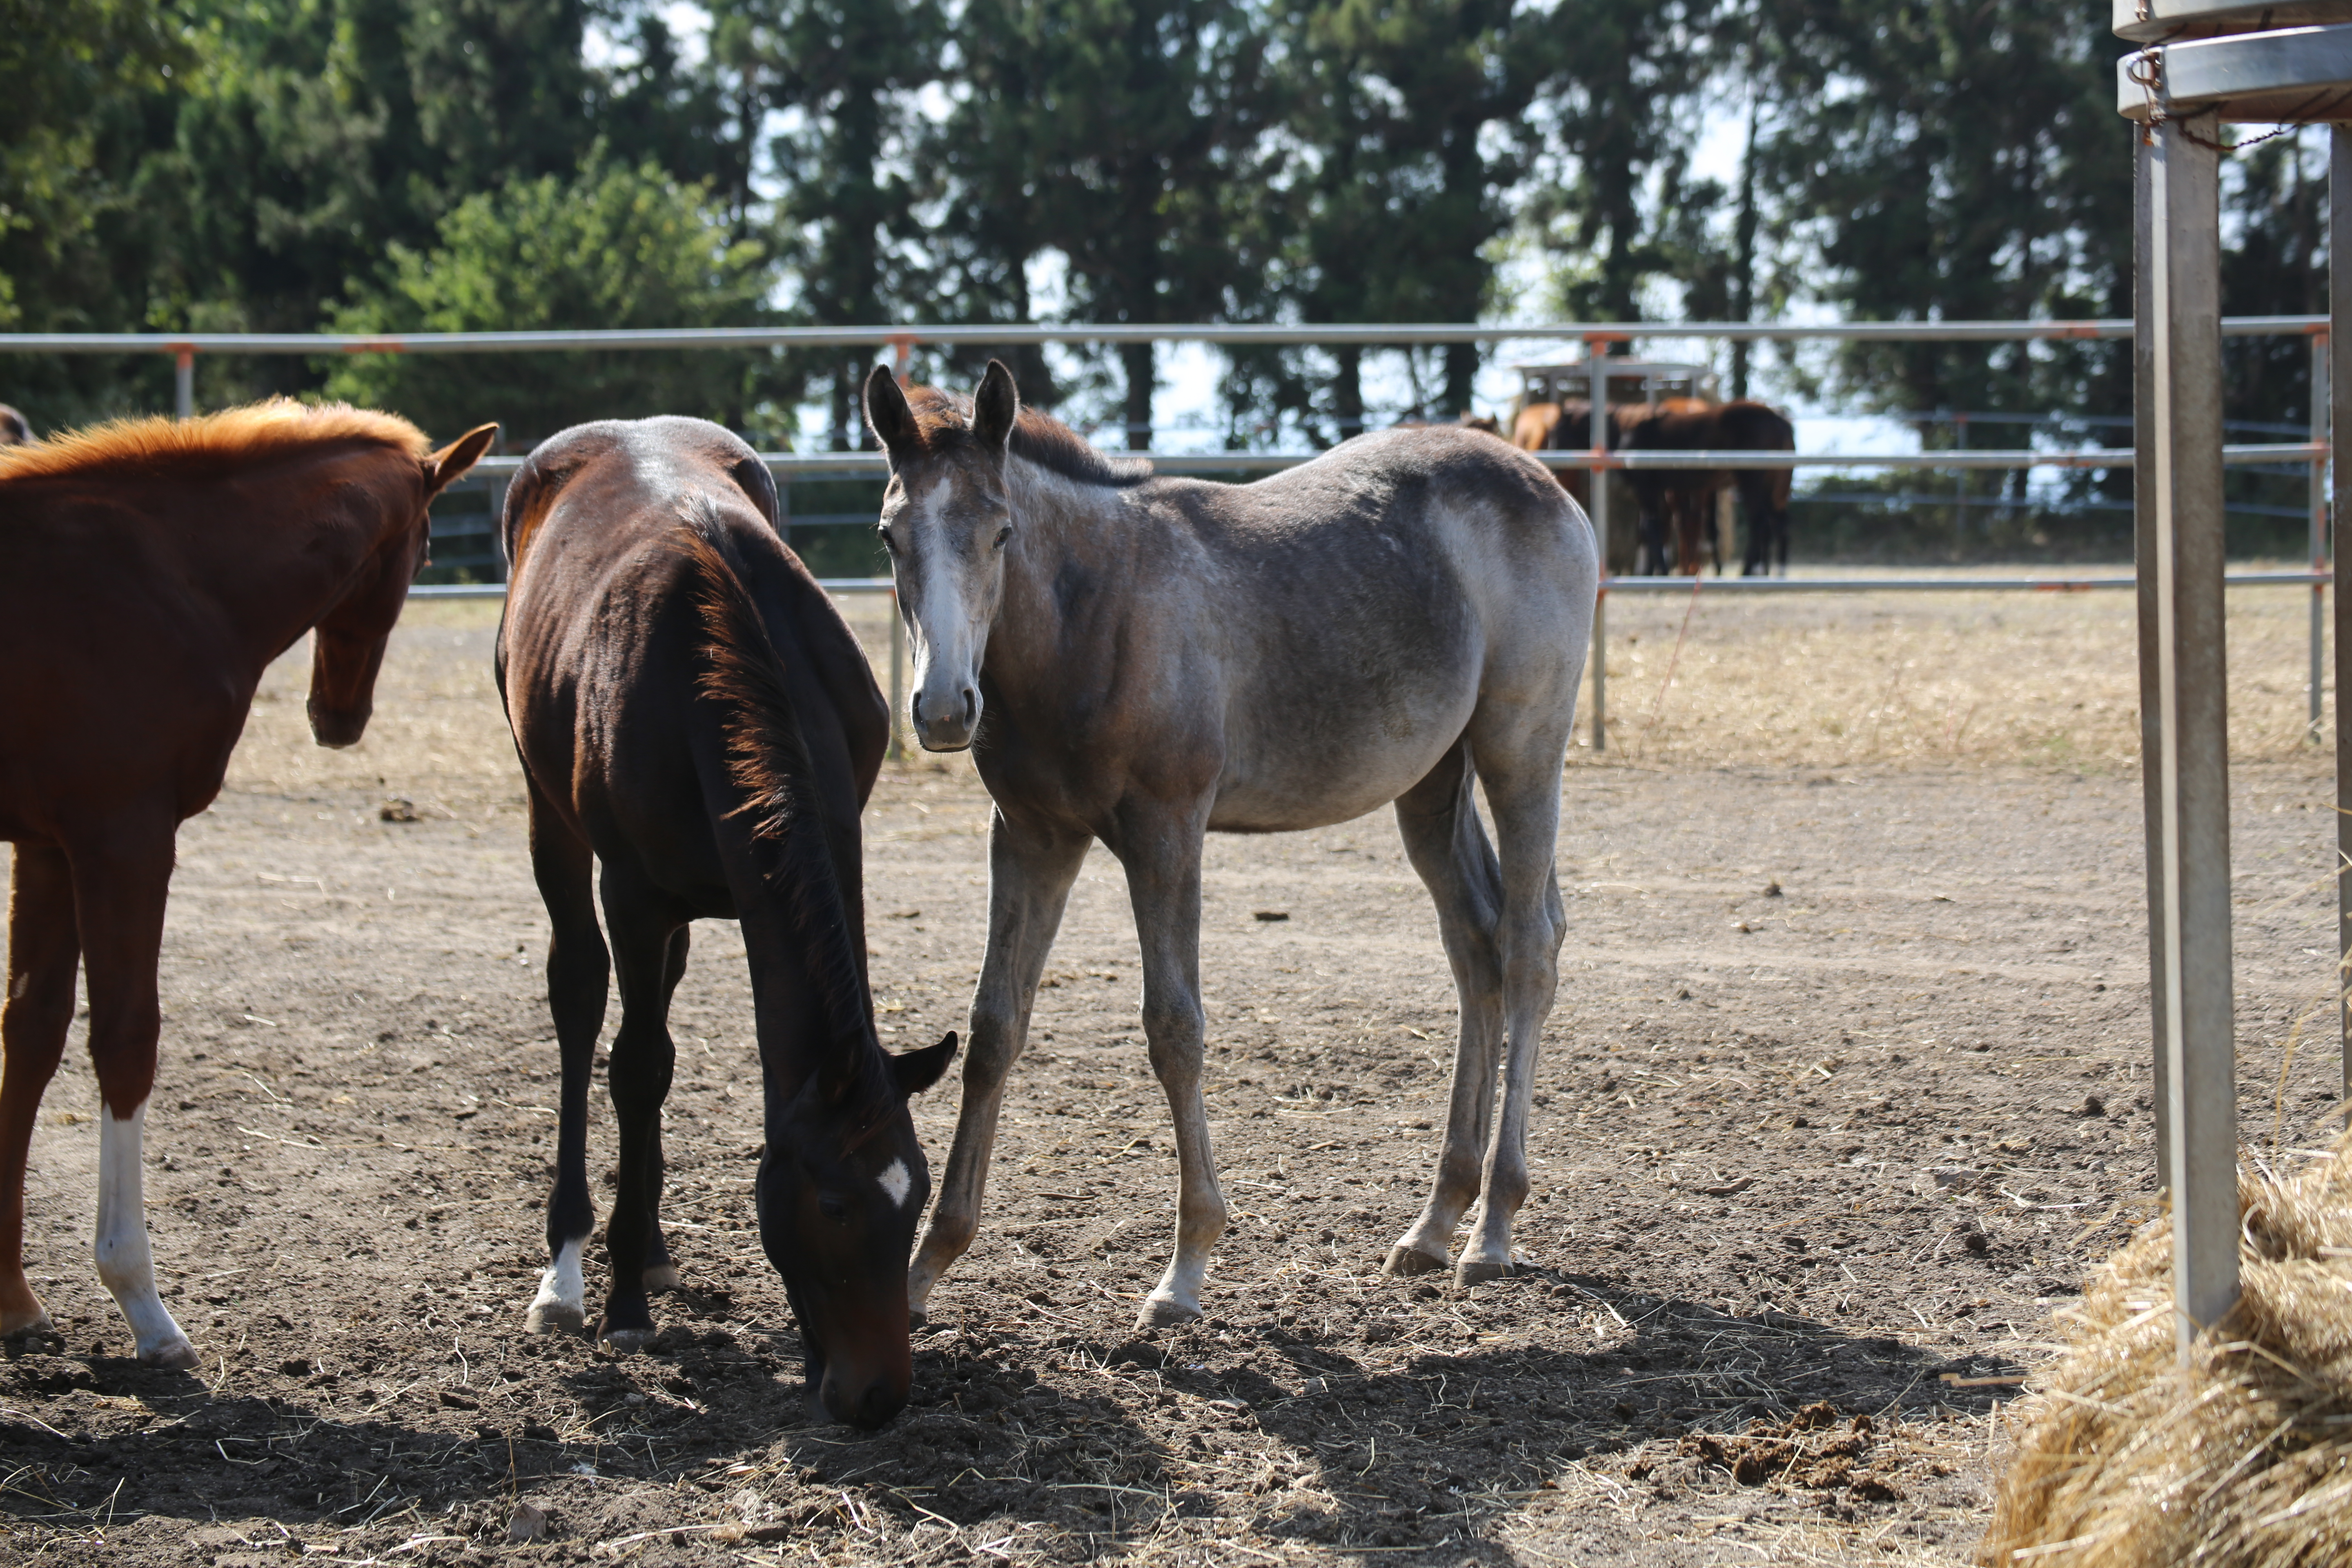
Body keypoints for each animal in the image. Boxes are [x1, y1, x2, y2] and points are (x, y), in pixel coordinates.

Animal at [0, 402, 496, 1363]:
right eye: (422, 552)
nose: (339, 719)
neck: (165, 568)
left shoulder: (47, 847)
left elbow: (30, 1038)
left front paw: (12, 1299)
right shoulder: (123, 835)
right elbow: (126, 1041)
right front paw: (142, 1302)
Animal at [501, 416, 960, 1439]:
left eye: (914, 1192)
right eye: (832, 1202)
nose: (879, 1398)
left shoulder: (833, 843)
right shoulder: (634, 894)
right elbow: (636, 1067)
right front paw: (625, 1302)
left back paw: (652, 1245)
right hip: (551, 818)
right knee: (580, 1000)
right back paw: (570, 1270)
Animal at [865, 359, 1599, 1326]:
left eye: (1001, 531)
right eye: (889, 537)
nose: (946, 708)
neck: (1092, 616)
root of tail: (1543, 480)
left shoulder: (1166, 830)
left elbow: (1174, 1029)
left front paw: (1184, 1269)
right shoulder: (1032, 836)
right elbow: (995, 1029)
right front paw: (923, 1270)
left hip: (1523, 751)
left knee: (1527, 948)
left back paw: (1493, 1232)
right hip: (1432, 784)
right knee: (1475, 947)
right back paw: (1436, 1223)